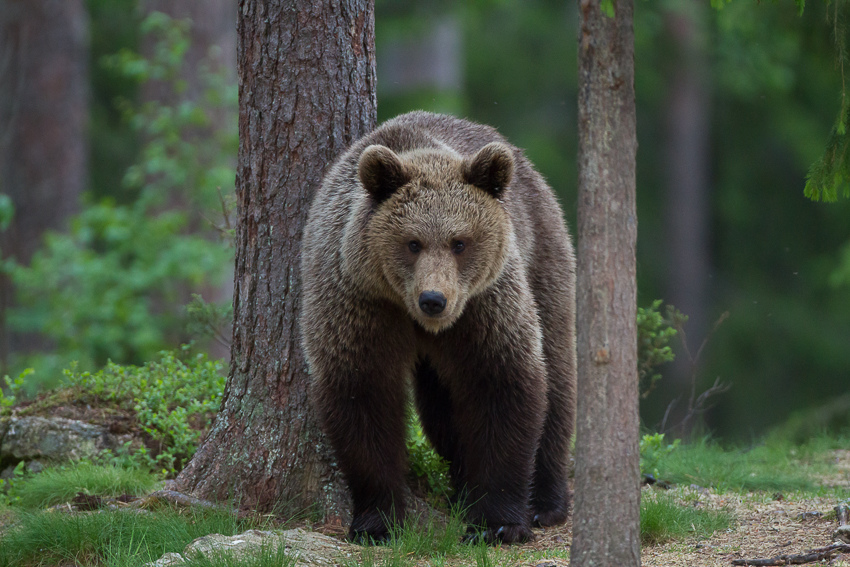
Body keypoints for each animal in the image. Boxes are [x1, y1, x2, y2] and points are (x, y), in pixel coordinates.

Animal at [300, 112, 576, 544]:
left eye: (459, 242)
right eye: (412, 242)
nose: (434, 299)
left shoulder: (483, 306)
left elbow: (502, 383)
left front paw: (498, 523)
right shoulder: (359, 304)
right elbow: (362, 397)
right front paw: (377, 520)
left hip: (543, 258)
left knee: (557, 374)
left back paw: (546, 501)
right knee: (442, 415)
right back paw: (462, 489)